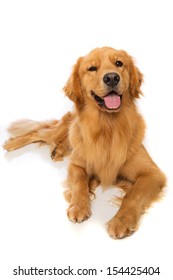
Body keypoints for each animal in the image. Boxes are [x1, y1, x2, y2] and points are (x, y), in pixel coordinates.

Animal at [3, 46, 166, 238]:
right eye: (92, 68)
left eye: (119, 63)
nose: (112, 77)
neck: (108, 127)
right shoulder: (76, 164)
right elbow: (79, 182)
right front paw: (78, 206)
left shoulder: (153, 174)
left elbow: (132, 194)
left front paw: (120, 221)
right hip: (60, 130)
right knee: (38, 133)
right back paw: (12, 143)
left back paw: (57, 150)